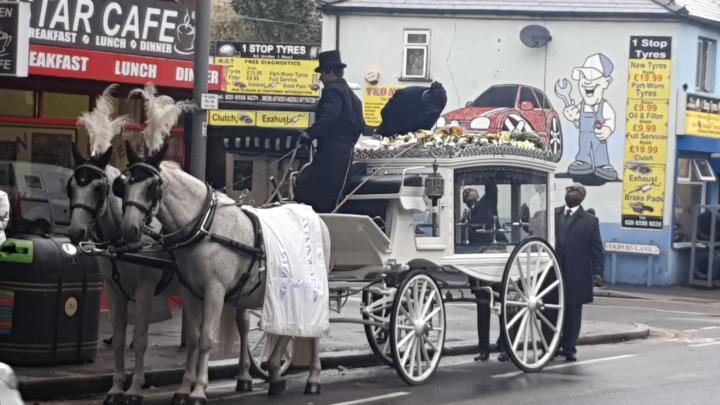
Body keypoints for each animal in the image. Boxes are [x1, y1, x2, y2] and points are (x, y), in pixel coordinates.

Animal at [67, 145, 174, 405]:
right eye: (71, 186)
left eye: (98, 188)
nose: (76, 231)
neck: (121, 242)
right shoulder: (114, 289)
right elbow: (118, 338)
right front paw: (116, 388)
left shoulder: (145, 289)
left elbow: (142, 338)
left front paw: (135, 388)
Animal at [114, 142, 331, 404]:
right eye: (123, 185)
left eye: (152, 187)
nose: (129, 229)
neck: (204, 226)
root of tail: (315, 215)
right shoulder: (190, 291)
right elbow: (194, 338)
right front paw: (184, 388)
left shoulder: (215, 291)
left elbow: (207, 339)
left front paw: (199, 389)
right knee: (288, 327)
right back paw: (274, 372)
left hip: (315, 288)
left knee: (315, 328)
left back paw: (313, 378)